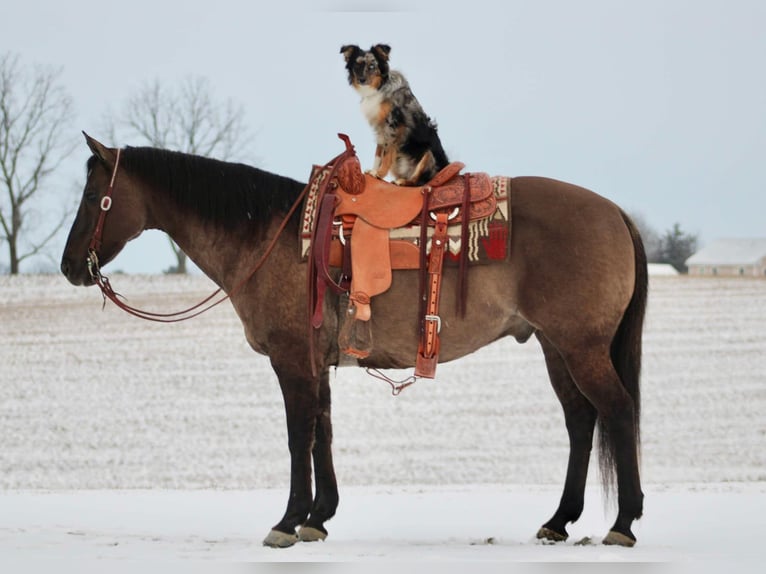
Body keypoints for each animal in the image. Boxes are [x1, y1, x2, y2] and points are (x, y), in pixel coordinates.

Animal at [61, 133, 648, 552]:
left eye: (92, 196)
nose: (69, 267)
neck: (270, 235)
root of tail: (616, 212)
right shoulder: (316, 363)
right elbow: (323, 433)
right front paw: (318, 518)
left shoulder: (291, 361)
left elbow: (298, 436)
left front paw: (287, 520)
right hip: (556, 347)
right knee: (581, 421)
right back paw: (559, 521)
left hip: (581, 348)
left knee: (618, 411)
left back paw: (623, 523)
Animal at [342, 44, 450, 187]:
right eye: (357, 65)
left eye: (372, 66)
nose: (362, 80)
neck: (379, 88)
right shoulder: (379, 129)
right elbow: (378, 152)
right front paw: (373, 171)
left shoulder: (391, 125)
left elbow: (387, 154)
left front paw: (379, 173)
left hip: (428, 154)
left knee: (420, 181)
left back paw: (403, 181)